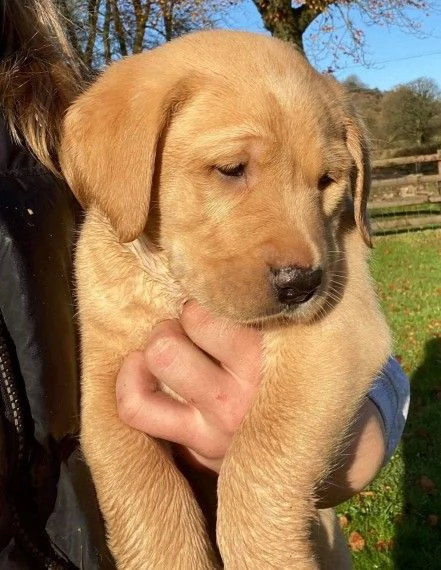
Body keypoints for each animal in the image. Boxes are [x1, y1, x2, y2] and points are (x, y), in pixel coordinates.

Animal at [60, 31, 390, 568]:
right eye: (231, 169)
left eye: (326, 181)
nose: (303, 285)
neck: (174, 290)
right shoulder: (106, 382)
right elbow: (140, 488)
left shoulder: (340, 332)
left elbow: (259, 456)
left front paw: (269, 555)